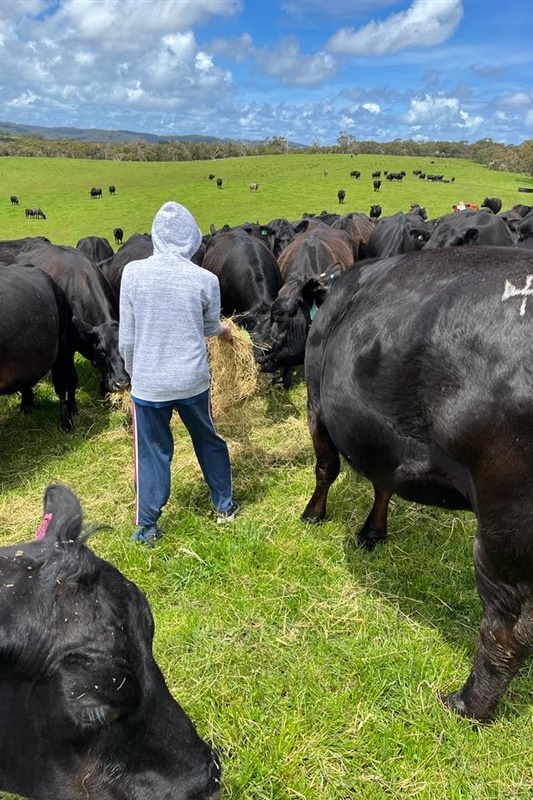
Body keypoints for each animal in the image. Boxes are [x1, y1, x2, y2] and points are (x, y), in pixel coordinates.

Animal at [302, 242, 533, 720]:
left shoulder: (315, 403)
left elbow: (326, 467)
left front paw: (313, 514)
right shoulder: (386, 441)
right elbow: (383, 481)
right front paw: (373, 532)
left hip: (504, 526)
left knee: (507, 629)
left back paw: (466, 706)